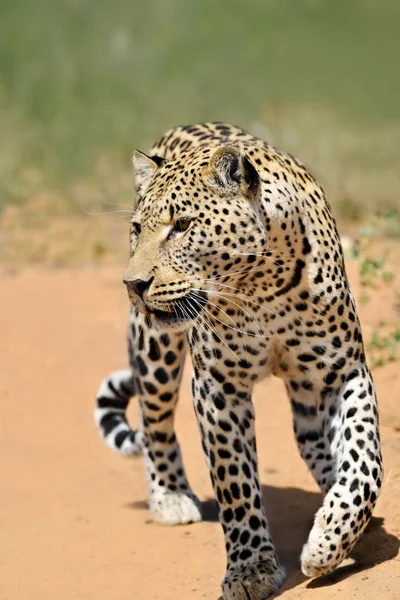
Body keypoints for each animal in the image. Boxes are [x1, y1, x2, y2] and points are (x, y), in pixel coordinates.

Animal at [93, 122, 382, 600]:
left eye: (182, 225)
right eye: (137, 229)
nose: (132, 284)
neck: (263, 287)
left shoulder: (342, 371)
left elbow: (365, 460)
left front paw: (331, 537)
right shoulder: (218, 387)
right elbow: (235, 482)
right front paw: (250, 569)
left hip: (306, 388)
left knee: (310, 437)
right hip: (154, 352)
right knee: (155, 425)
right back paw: (170, 496)